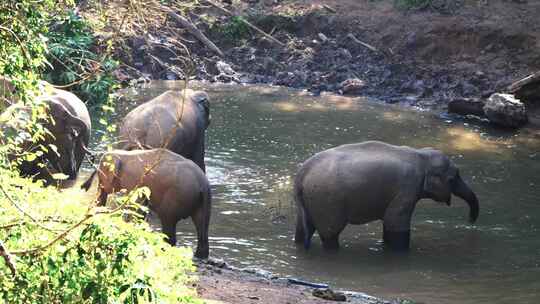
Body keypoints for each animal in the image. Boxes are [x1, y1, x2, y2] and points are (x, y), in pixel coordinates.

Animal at [81, 148, 212, 258]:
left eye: (100, 178)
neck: (124, 154)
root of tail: (203, 184)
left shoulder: (137, 181)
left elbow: (136, 205)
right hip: (203, 201)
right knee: (201, 224)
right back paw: (200, 255)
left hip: (176, 197)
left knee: (168, 221)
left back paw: (164, 248)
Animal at [296, 141, 480, 251]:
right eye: (452, 179)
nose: (471, 220)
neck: (422, 155)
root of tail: (302, 174)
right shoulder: (407, 188)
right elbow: (396, 222)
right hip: (327, 202)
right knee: (330, 234)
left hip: (311, 201)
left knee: (302, 229)